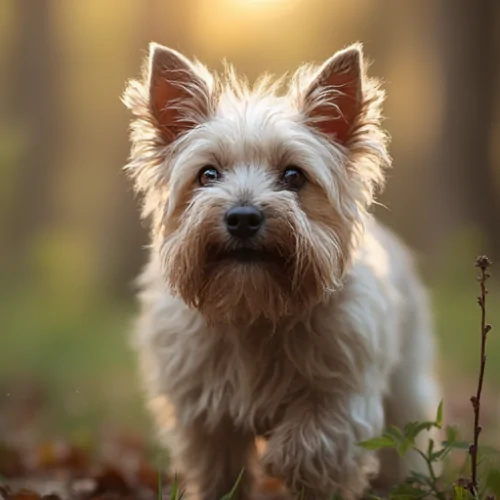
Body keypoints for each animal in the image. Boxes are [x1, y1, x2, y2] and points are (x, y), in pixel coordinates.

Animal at [122, 43, 442, 500]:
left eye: (294, 175)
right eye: (207, 174)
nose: (242, 217)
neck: (254, 306)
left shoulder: (342, 391)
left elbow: (310, 445)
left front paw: (285, 462)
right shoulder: (202, 408)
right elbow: (219, 468)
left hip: (405, 382)